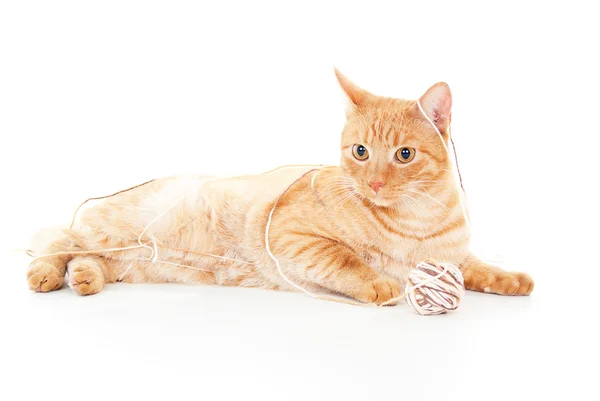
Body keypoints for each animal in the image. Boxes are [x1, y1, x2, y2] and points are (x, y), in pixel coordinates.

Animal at [27, 70, 536, 304]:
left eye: (404, 156)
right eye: (360, 152)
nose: (372, 182)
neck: (416, 220)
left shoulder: (453, 256)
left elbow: (479, 267)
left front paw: (511, 278)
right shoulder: (294, 236)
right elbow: (346, 260)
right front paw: (377, 283)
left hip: (130, 262)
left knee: (91, 259)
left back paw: (85, 278)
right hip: (113, 227)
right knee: (59, 239)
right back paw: (46, 273)